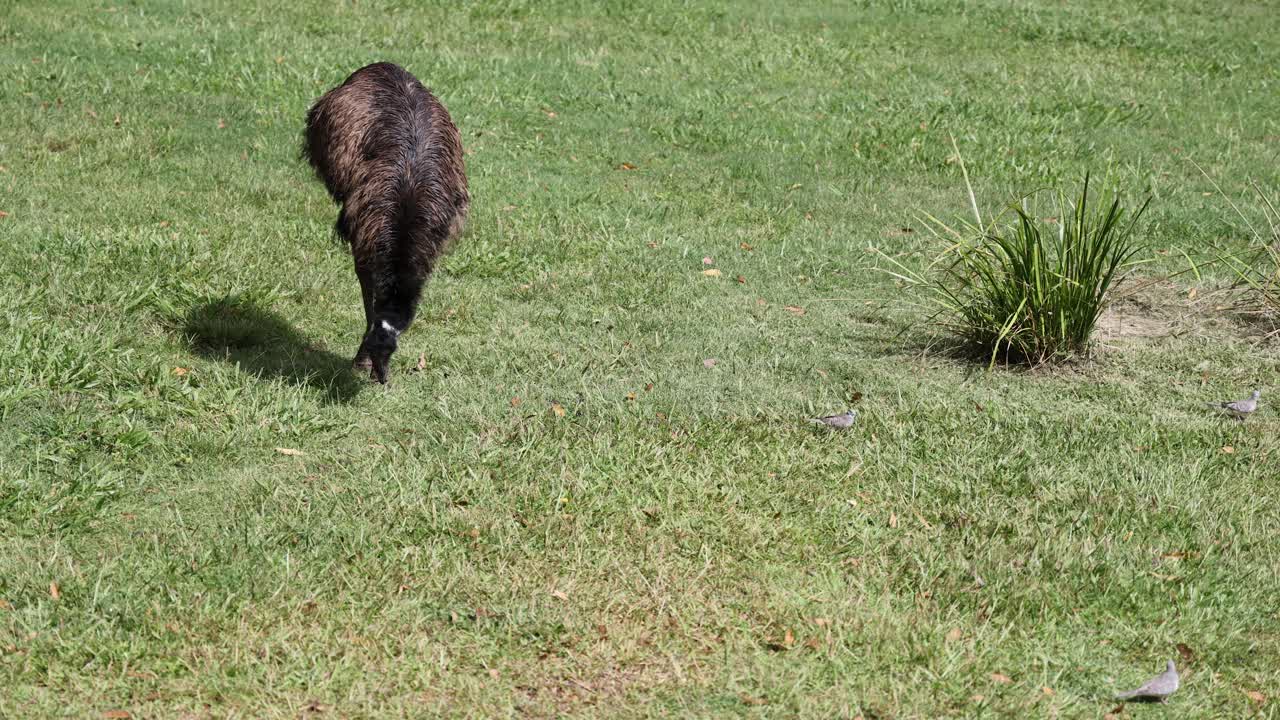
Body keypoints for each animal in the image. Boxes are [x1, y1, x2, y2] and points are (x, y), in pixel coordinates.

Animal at [303, 62, 469, 384]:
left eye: (393, 350)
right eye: (373, 345)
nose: (381, 377)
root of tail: (383, 66)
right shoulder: (365, 231)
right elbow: (367, 290)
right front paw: (360, 362)